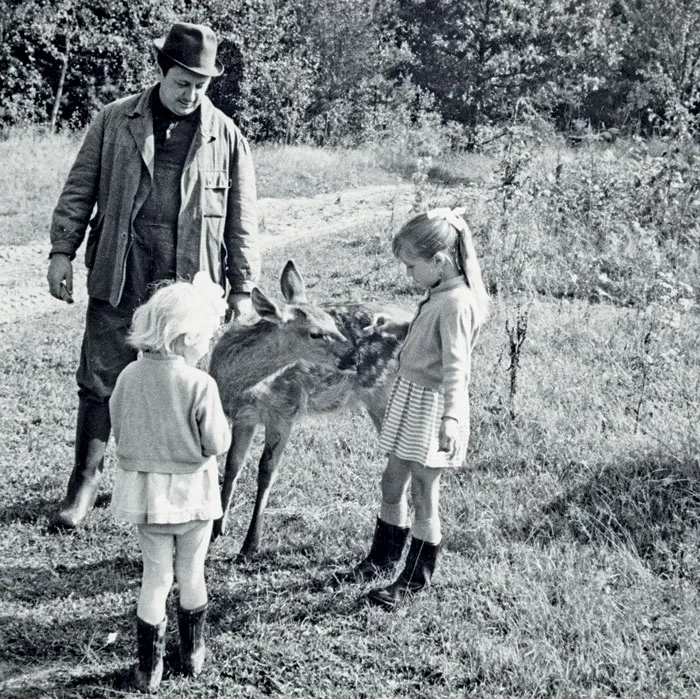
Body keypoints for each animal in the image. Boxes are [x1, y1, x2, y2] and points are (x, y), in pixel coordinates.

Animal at [211, 260, 412, 560]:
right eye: (315, 332)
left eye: (332, 322)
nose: (354, 356)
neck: (243, 387)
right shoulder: (243, 416)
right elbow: (233, 465)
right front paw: (216, 529)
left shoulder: (285, 409)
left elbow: (266, 472)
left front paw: (249, 545)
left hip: (385, 395)